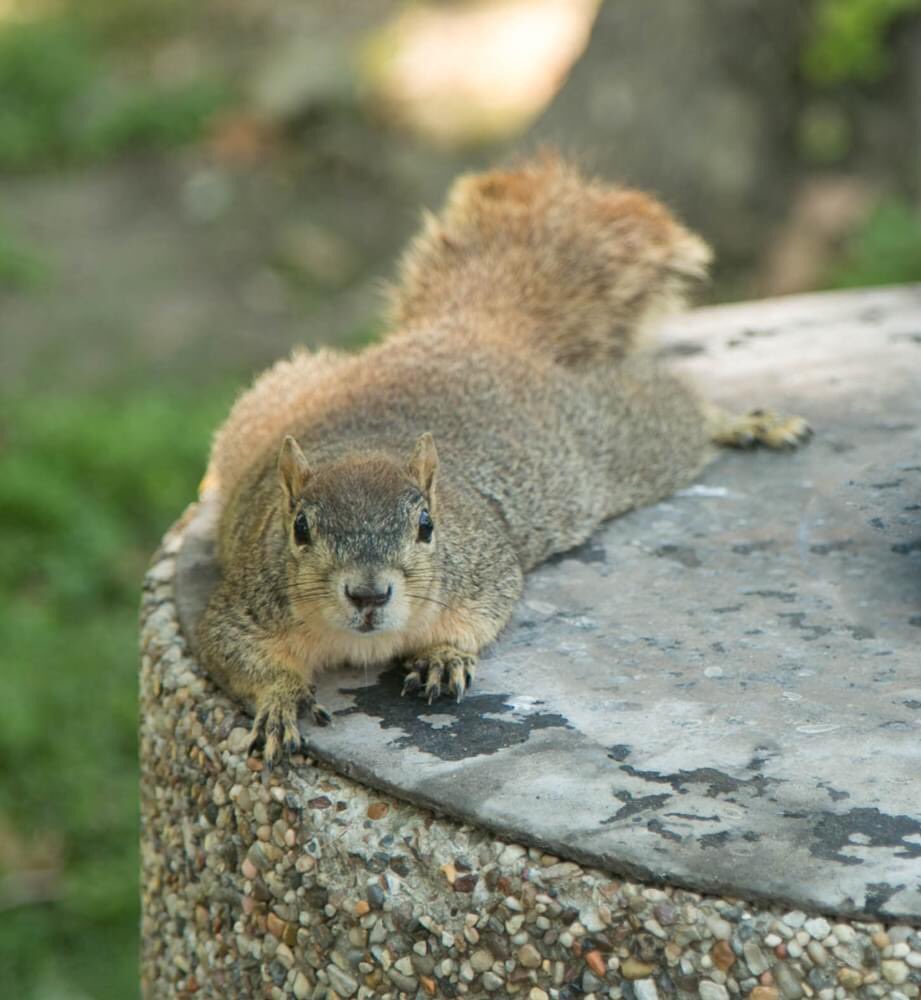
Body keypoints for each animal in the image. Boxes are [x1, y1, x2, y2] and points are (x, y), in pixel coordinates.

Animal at [196, 155, 811, 764]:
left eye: (426, 526)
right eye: (299, 529)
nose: (369, 595)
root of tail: (474, 331)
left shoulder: (481, 569)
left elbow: (486, 612)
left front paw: (444, 655)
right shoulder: (243, 607)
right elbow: (230, 654)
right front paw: (280, 700)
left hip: (620, 438)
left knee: (676, 410)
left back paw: (745, 422)